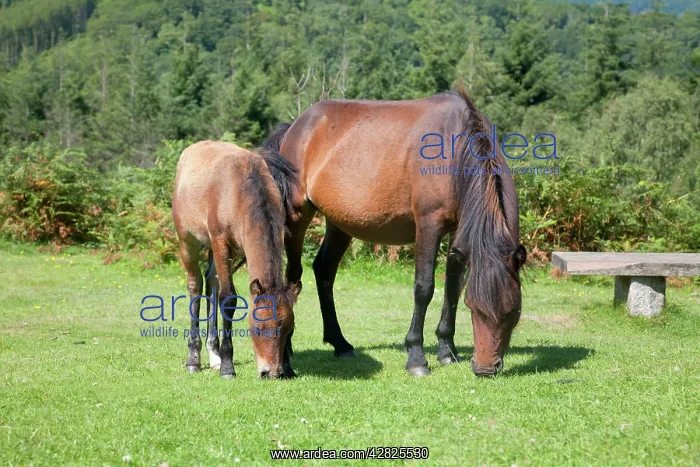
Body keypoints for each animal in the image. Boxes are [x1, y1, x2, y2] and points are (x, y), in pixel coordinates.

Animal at [172, 141, 301, 379]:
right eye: (258, 328)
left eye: (289, 329)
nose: (271, 372)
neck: (240, 191)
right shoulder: (220, 242)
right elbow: (228, 298)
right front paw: (227, 366)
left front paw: (288, 366)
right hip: (188, 241)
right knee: (196, 285)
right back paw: (194, 359)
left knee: (211, 281)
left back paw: (213, 355)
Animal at [264, 86, 527, 377]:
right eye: (475, 307)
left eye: (514, 311)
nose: (484, 368)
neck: (456, 147)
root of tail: (296, 126)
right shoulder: (429, 224)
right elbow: (424, 288)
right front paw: (417, 358)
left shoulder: (458, 229)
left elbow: (452, 286)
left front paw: (447, 351)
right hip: (298, 215)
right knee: (293, 276)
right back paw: (286, 348)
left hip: (340, 222)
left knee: (324, 270)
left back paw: (341, 343)